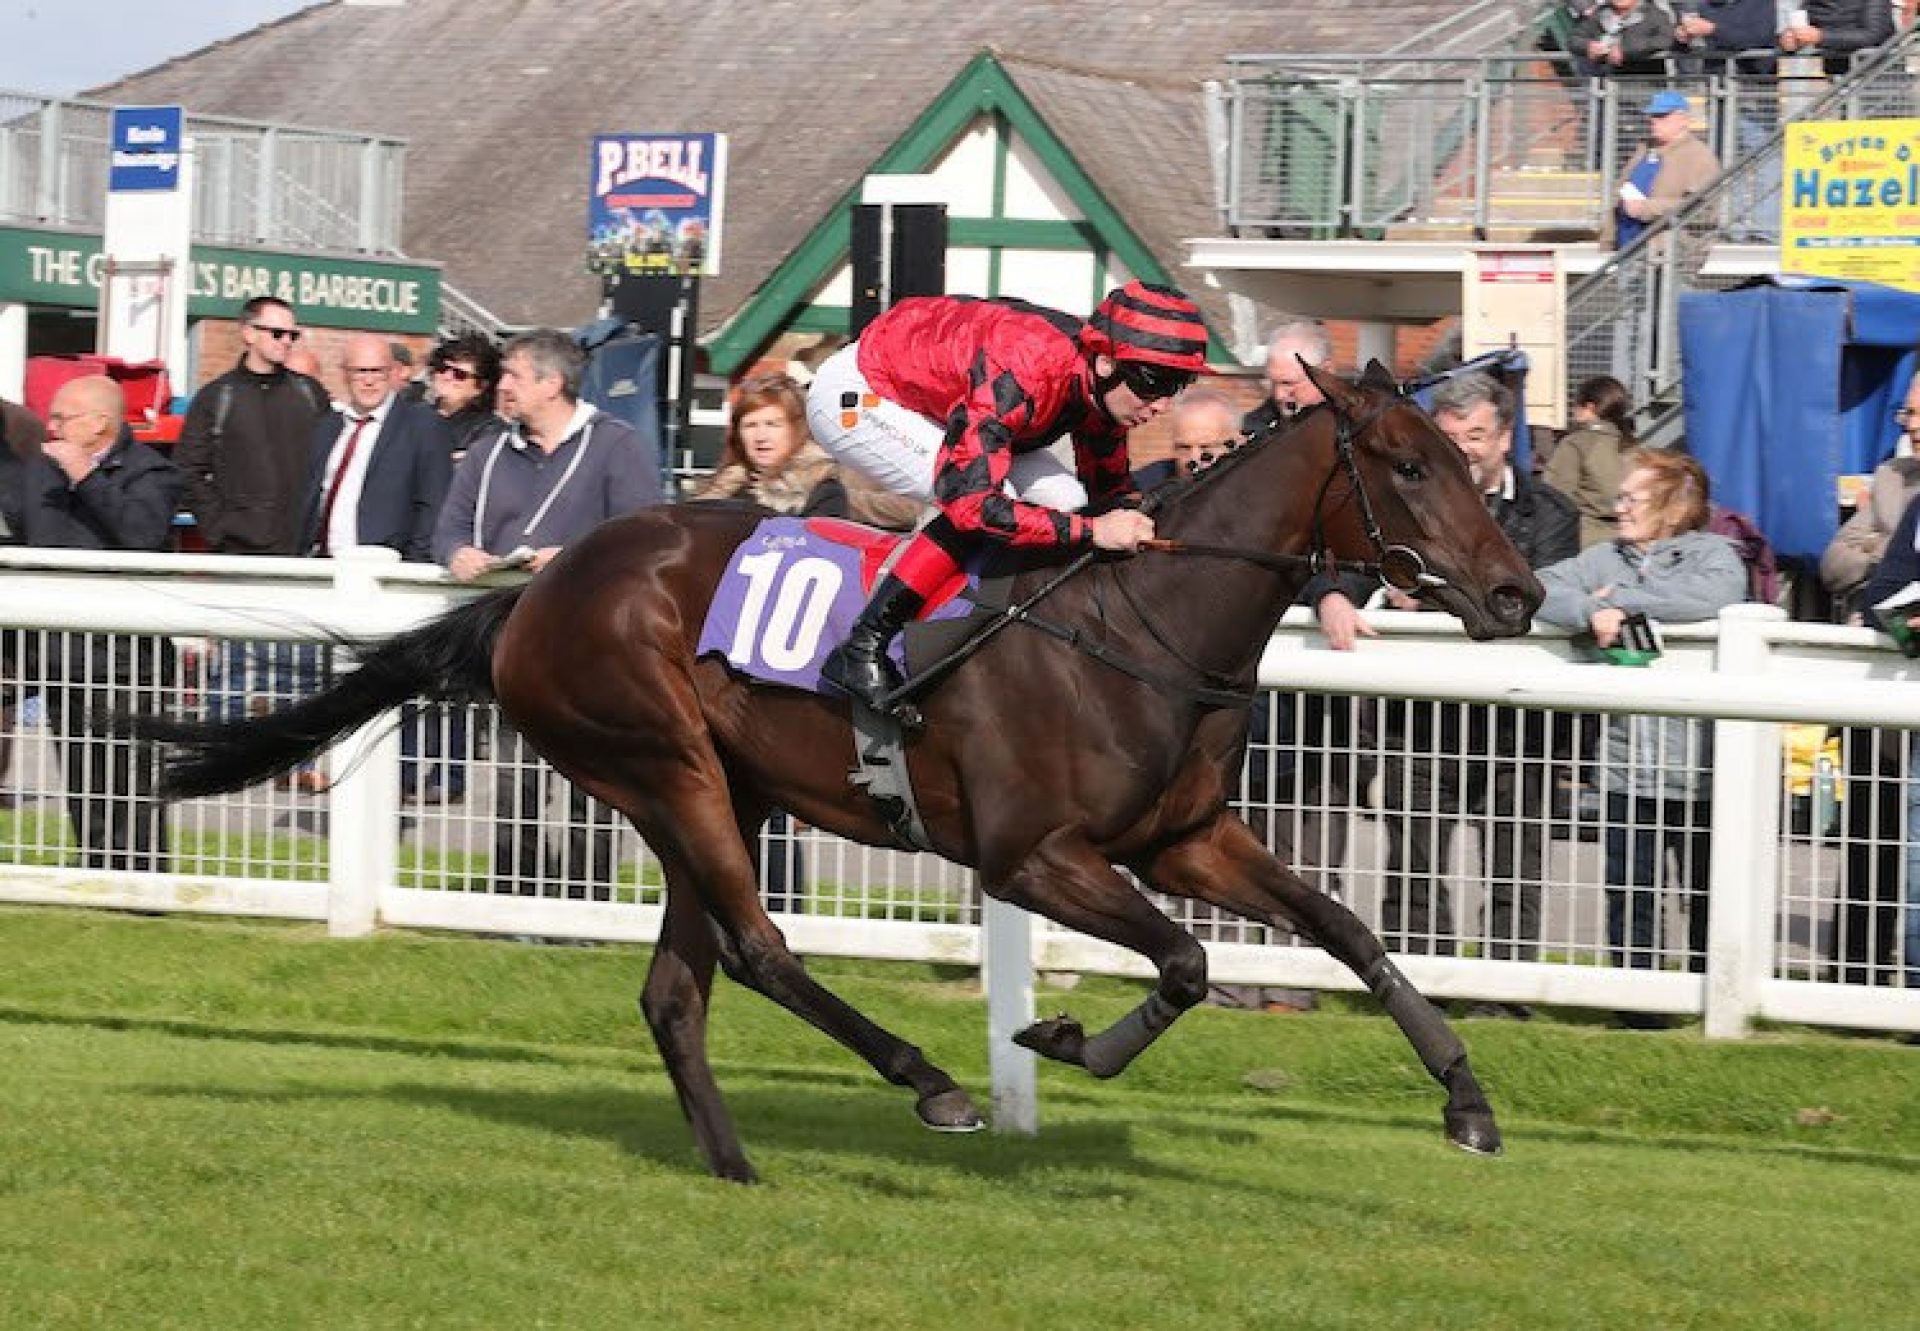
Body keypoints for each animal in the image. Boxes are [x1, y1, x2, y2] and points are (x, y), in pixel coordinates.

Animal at [127, 359, 1543, 1175]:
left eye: (1468, 457)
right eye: (1405, 465)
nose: (1519, 593)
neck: (1139, 619)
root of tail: (535, 589)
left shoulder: (1185, 836)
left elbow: (1345, 926)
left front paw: (1468, 1100)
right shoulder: (1032, 856)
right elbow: (1189, 962)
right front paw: (1060, 1035)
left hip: (714, 788)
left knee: (677, 986)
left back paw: (735, 1165)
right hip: (664, 765)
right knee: (758, 950)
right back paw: (933, 1086)